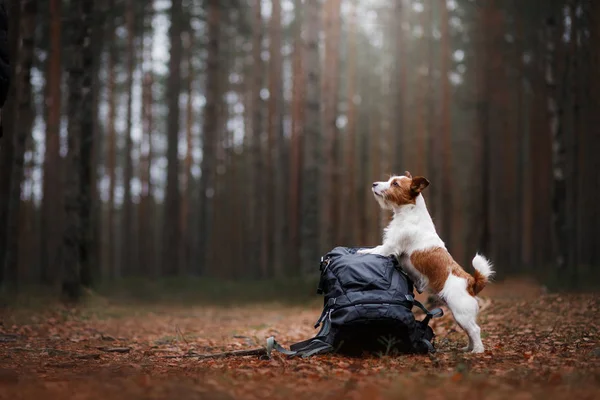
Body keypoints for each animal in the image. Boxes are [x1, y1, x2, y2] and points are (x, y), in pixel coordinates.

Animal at [358, 170, 494, 352]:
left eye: (395, 184)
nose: (374, 184)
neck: (410, 212)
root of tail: (471, 282)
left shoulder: (389, 247)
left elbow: (374, 250)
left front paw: (360, 252)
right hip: (459, 315)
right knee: (469, 331)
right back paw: (467, 348)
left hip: (461, 313)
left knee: (475, 330)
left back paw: (477, 351)